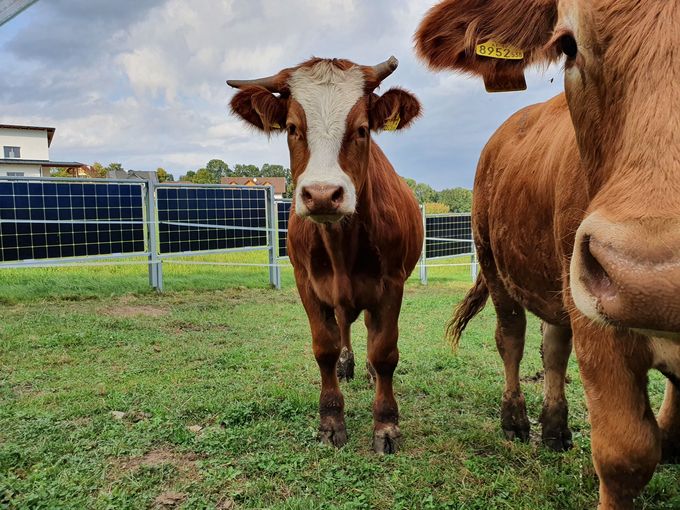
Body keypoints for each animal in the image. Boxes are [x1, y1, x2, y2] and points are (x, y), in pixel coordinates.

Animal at [226, 56, 422, 454]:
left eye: (362, 129)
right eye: (291, 127)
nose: (321, 195)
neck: (340, 243)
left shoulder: (392, 284)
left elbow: (384, 351)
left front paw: (386, 424)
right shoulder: (307, 284)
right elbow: (325, 348)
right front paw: (331, 419)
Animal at [418, 0, 680, 508]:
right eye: (568, 45)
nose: (654, 283)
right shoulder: (600, 330)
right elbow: (626, 454)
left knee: (554, 348)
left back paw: (555, 427)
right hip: (496, 263)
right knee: (511, 338)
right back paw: (515, 419)